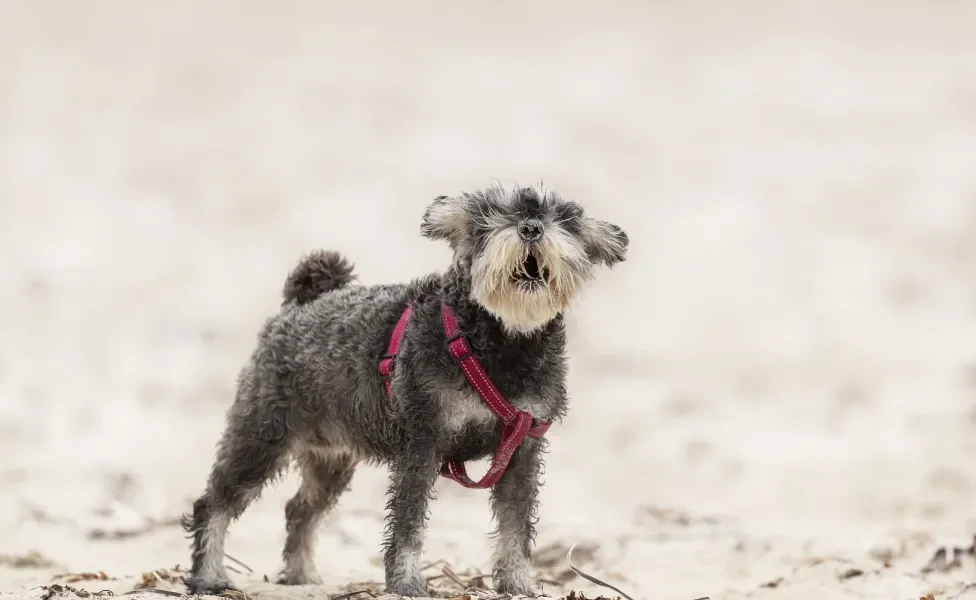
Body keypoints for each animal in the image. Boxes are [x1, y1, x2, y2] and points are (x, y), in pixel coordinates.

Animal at [181, 183, 624, 596]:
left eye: (564, 219)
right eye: (489, 216)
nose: (531, 227)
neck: (502, 340)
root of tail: (298, 304)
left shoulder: (522, 450)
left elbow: (515, 524)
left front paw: (517, 583)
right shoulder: (422, 442)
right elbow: (409, 522)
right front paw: (407, 583)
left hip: (330, 460)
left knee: (299, 509)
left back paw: (301, 574)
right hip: (261, 438)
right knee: (213, 504)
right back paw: (208, 576)